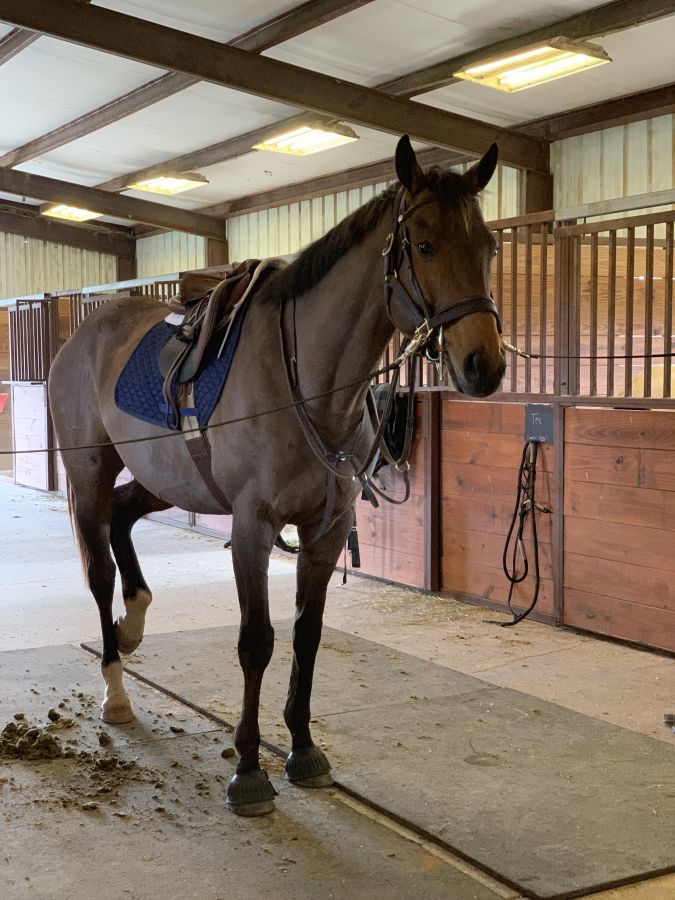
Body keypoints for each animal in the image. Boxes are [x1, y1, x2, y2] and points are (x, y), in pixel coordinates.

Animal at [48, 134, 508, 816]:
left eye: (489, 249)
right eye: (424, 245)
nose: (485, 365)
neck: (310, 385)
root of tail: (83, 334)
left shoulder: (326, 529)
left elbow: (307, 636)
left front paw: (304, 750)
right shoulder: (253, 528)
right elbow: (256, 641)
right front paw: (248, 770)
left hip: (161, 478)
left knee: (126, 522)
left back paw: (133, 624)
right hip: (89, 474)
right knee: (100, 567)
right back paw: (116, 688)